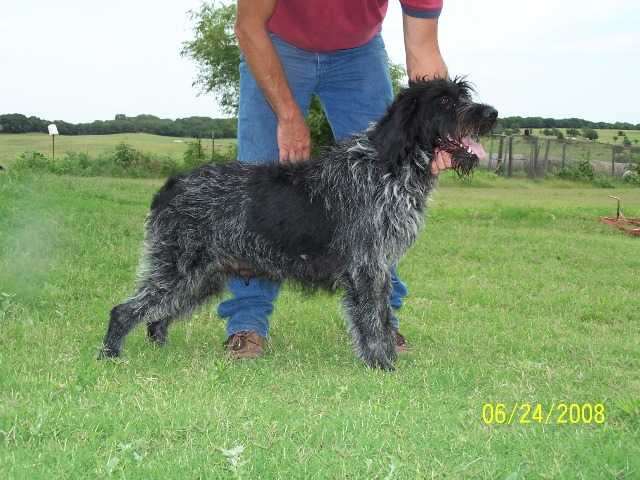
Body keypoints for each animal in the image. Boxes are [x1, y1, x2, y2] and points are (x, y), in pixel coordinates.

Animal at [100, 78, 498, 372]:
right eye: (443, 102)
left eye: (464, 95)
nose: (491, 113)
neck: (388, 166)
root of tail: (170, 185)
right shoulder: (366, 269)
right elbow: (371, 320)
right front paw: (382, 364)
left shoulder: (380, 268)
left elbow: (383, 317)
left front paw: (386, 356)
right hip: (180, 268)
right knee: (125, 310)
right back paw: (110, 354)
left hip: (201, 277)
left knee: (157, 316)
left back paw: (159, 348)